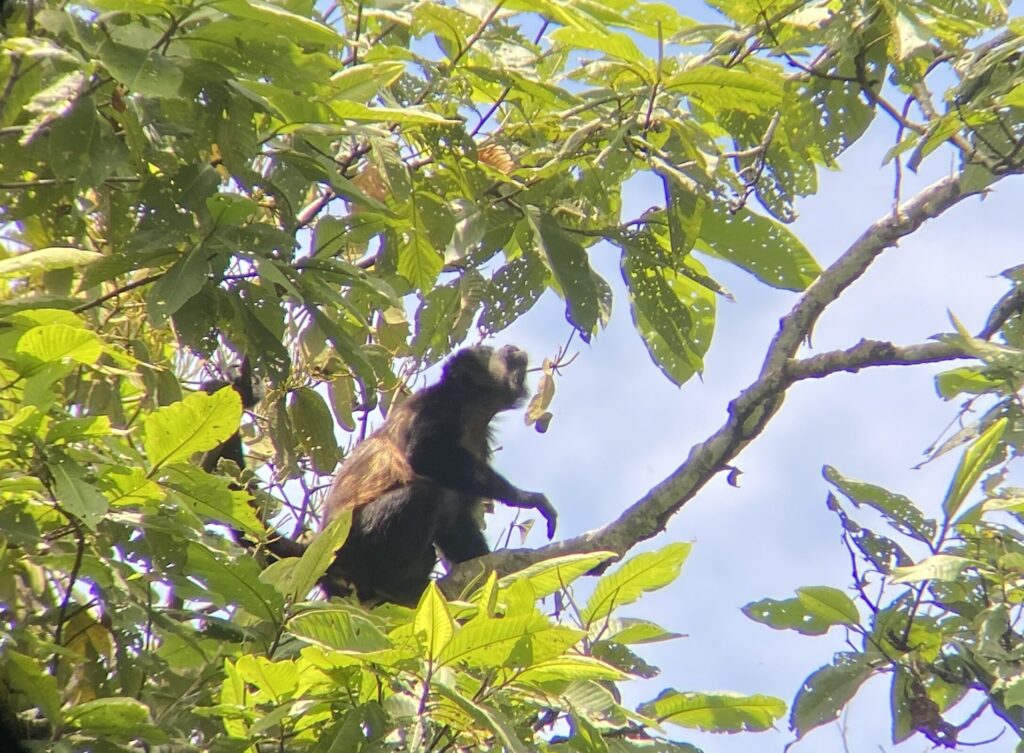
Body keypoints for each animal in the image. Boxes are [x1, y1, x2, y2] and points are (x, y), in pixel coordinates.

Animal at [321, 345, 556, 606]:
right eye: (488, 352)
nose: (510, 348)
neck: (474, 410)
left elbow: (453, 520)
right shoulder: (437, 405)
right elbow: (424, 456)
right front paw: (525, 498)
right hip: (354, 542)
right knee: (422, 493)